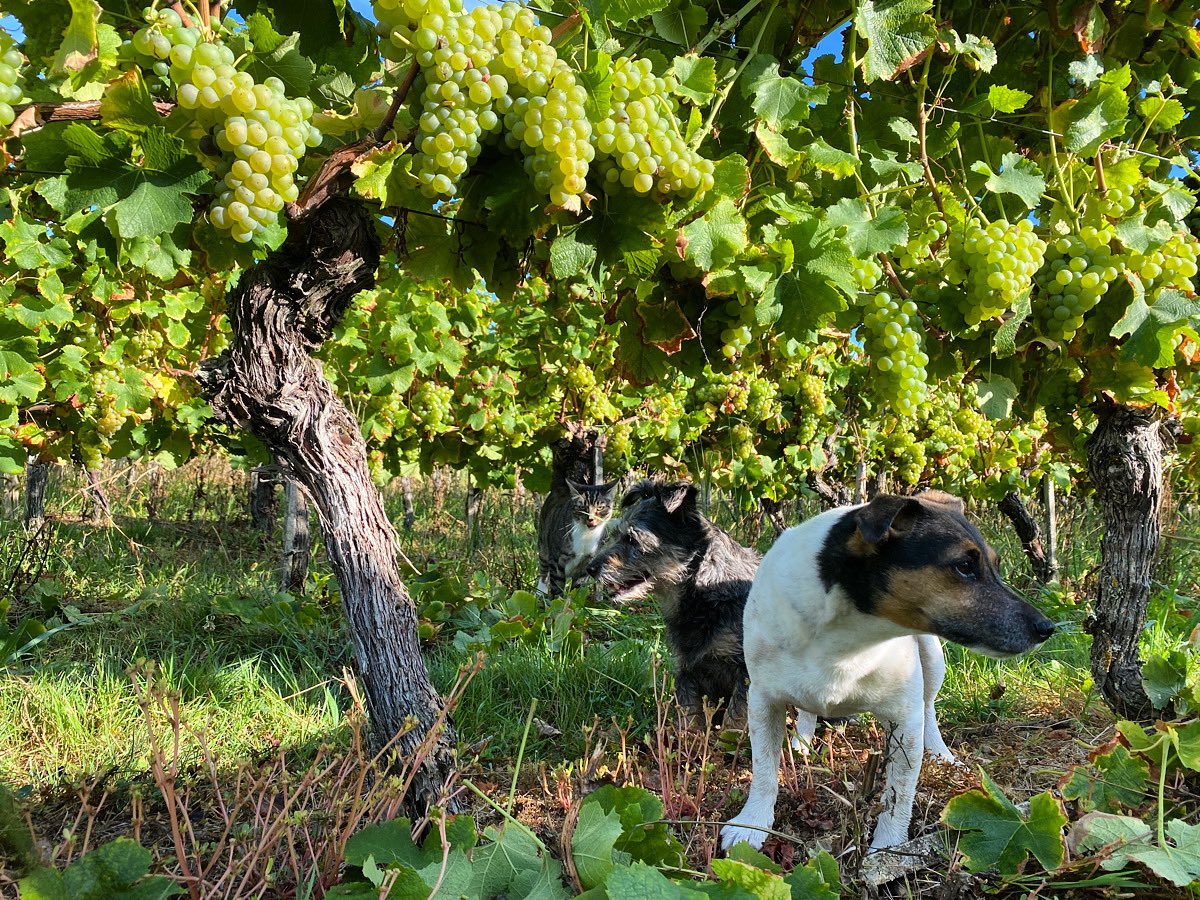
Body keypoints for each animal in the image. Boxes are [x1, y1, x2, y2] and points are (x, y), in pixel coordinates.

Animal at [583, 480, 758, 724]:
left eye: (632, 539)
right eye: (615, 534)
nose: (590, 569)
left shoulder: (747, 674)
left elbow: (735, 719)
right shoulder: (685, 670)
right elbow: (690, 720)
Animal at [720, 496, 1051, 854]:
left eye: (995, 564)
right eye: (964, 565)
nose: (1047, 628)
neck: (847, 640)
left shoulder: (903, 718)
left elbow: (898, 794)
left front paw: (888, 847)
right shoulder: (762, 700)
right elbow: (764, 770)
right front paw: (751, 824)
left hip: (931, 660)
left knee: (929, 707)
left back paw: (942, 755)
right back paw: (803, 741)